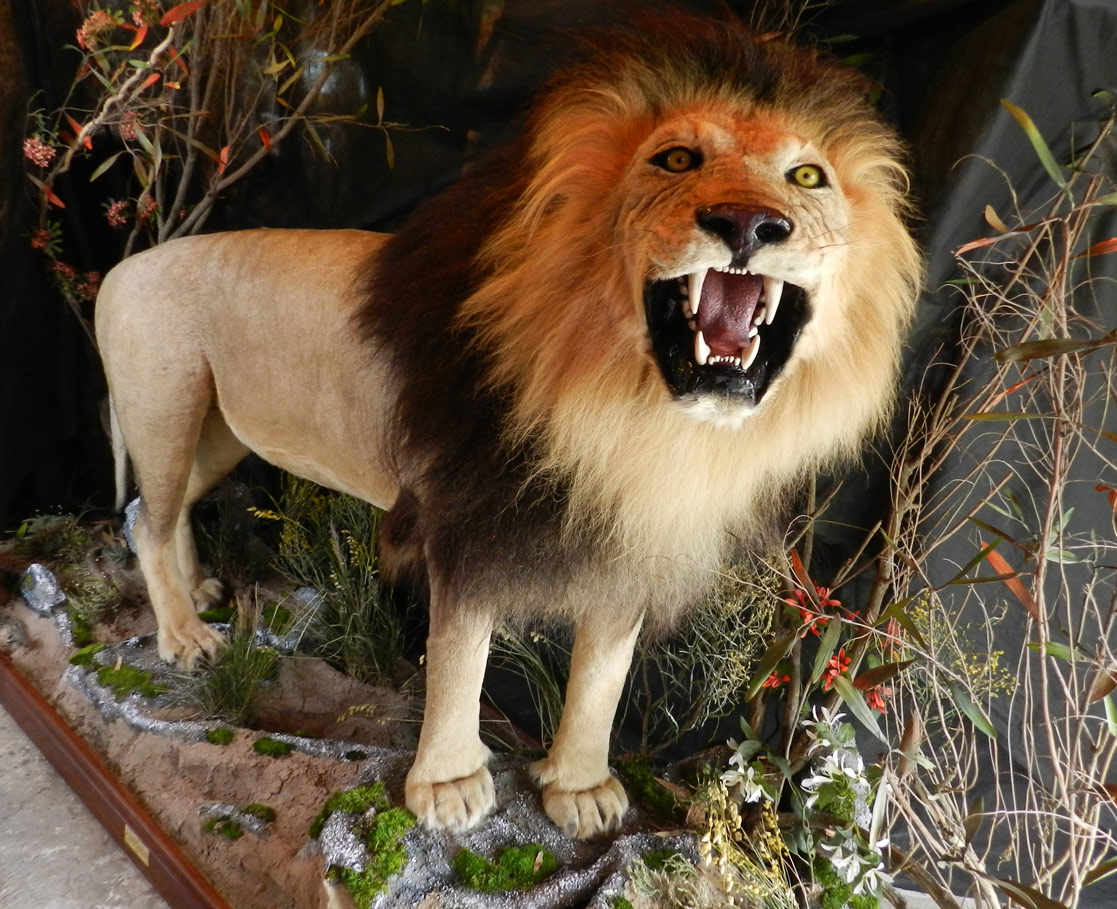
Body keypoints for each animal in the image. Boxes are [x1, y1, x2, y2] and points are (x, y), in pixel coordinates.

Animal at [94, 12, 920, 840]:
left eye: (806, 178)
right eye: (677, 159)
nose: (747, 223)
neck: (639, 419)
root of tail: (122, 269)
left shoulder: (629, 535)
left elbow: (603, 675)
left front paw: (579, 787)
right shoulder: (467, 527)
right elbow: (461, 659)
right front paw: (449, 784)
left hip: (219, 433)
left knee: (166, 513)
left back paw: (199, 591)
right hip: (165, 408)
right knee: (145, 518)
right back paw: (184, 637)